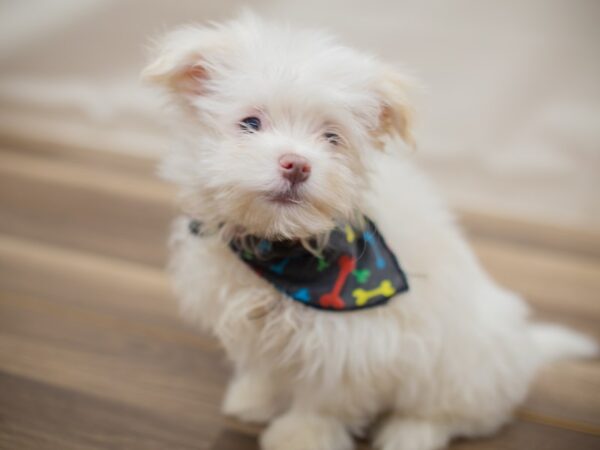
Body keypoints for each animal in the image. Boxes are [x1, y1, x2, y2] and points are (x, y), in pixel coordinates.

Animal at [142, 13, 596, 450]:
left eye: (332, 138)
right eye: (250, 122)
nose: (297, 165)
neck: (281, 249)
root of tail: (526, 349)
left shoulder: (351, 342)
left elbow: (323, 400)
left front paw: (300, 437)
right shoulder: (256, 324)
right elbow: (267, 368)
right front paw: (255, 399)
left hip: (460, 370)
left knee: (454, 415)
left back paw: (410, 435)